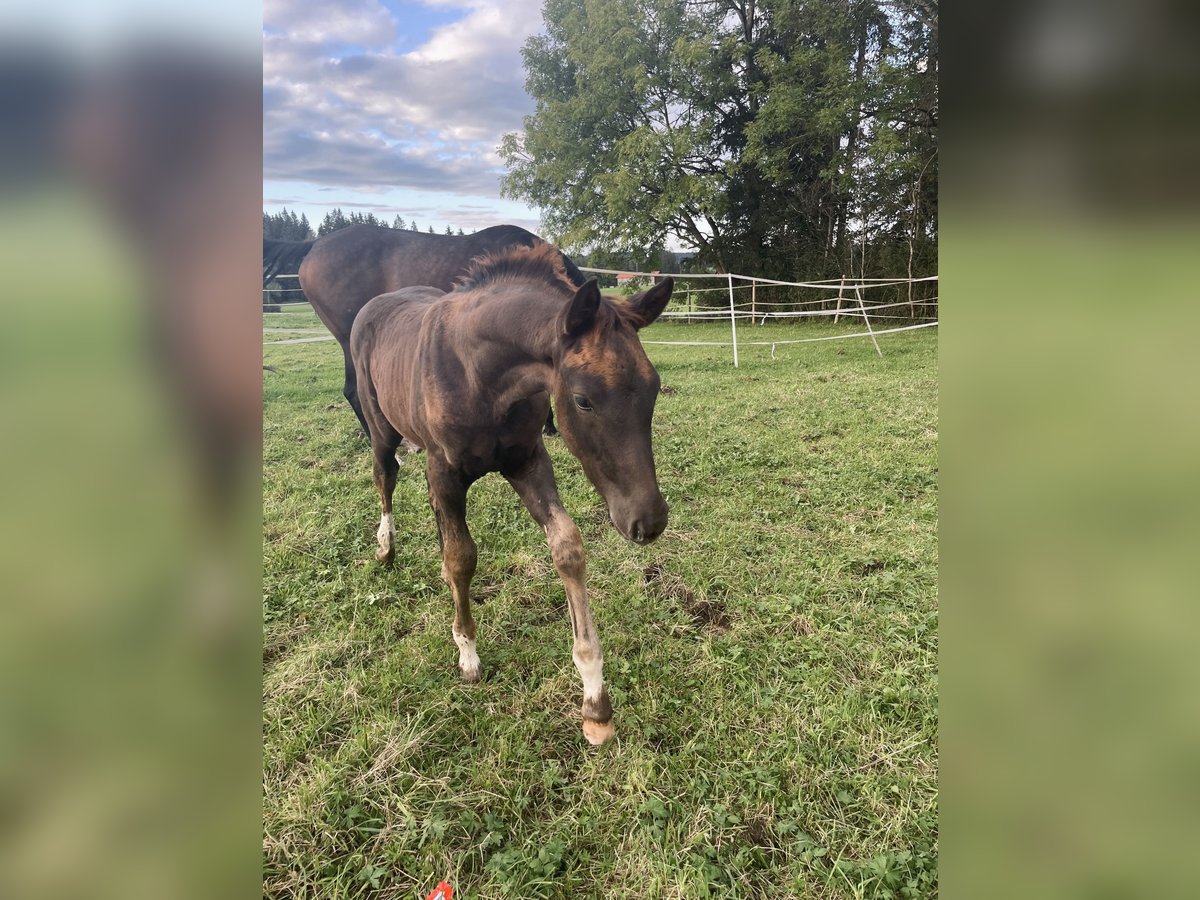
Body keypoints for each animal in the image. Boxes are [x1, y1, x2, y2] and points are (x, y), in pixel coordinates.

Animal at [350, 241, 676, 748]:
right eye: (583, 400)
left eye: (654, 389)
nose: (648, 520)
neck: (479, 375)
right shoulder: (444, 471)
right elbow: (461, 558)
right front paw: (467, 654)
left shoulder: (528, 462)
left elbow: (567, 548)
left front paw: (595, 704)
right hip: (382, 429)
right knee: (385, 476)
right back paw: (385, 545)